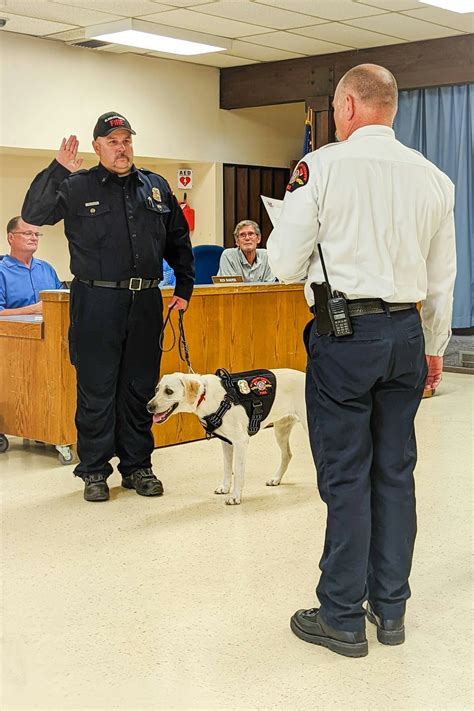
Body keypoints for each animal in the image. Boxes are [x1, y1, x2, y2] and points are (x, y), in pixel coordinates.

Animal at [146, 370, 308, 504]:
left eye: (169, 391)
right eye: (156, 389)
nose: (148, 407)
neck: (205, 395)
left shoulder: (241, 441)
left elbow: (238, 473)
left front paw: (235, 497)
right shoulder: (227, 442)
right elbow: (227, 468)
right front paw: (225, 487)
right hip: (281, 430)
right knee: (287, 455)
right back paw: (276, 479)